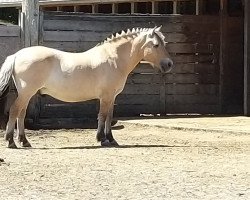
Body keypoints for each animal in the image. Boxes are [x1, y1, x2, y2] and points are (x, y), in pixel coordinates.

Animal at [0, 25, 173, 148]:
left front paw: (111, 139)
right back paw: (11, 141)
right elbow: (103, 116)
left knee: (21, 114)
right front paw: (102, 139)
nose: (169, 64)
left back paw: (24, 141)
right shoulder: (106, 96)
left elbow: (110, 117)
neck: (113, 59)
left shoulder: (112, 97)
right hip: (26, 92)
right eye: (156, 45)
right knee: (15, 111)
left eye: (164, 43)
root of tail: (17, 55)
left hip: (27, 93)